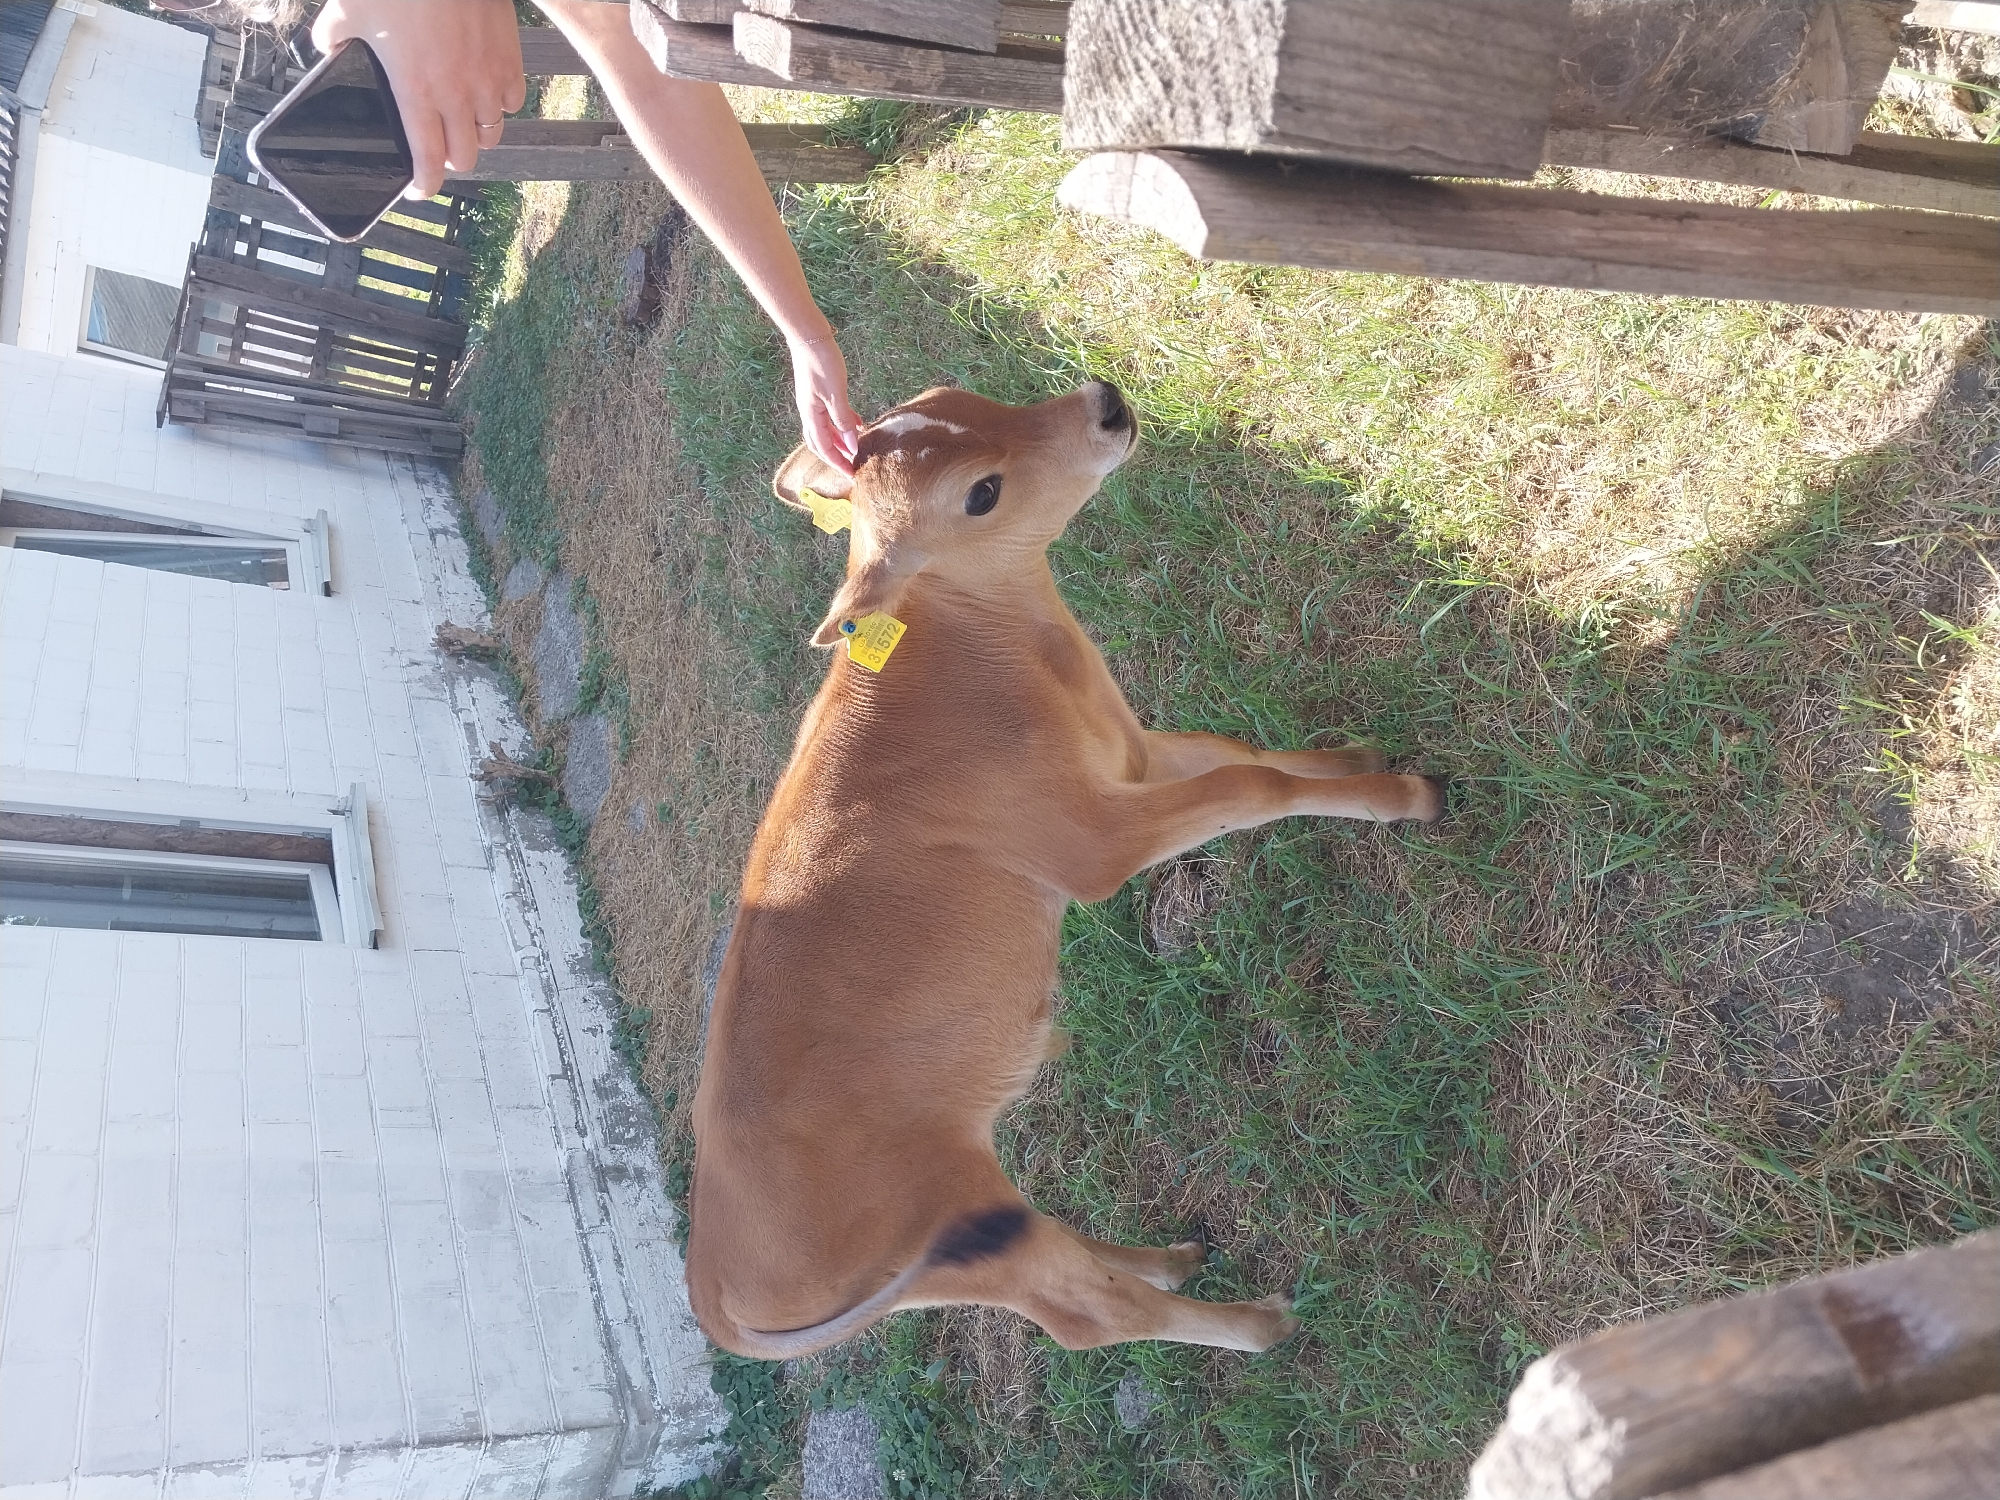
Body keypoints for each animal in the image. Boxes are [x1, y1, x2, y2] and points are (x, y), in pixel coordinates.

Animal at [685, 381, 1442, 1360]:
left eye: (953, 394)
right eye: (982, 493)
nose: (1106, 402)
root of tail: (709, 1287)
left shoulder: (1133, 761)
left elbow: (1236, 752)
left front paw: (1360, 759)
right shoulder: (1095, 846)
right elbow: (1250, 782)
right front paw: (1409, 798)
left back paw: (1175, 1257)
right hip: (968, 1234)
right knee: (1093, 1315)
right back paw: (1261, 1321)